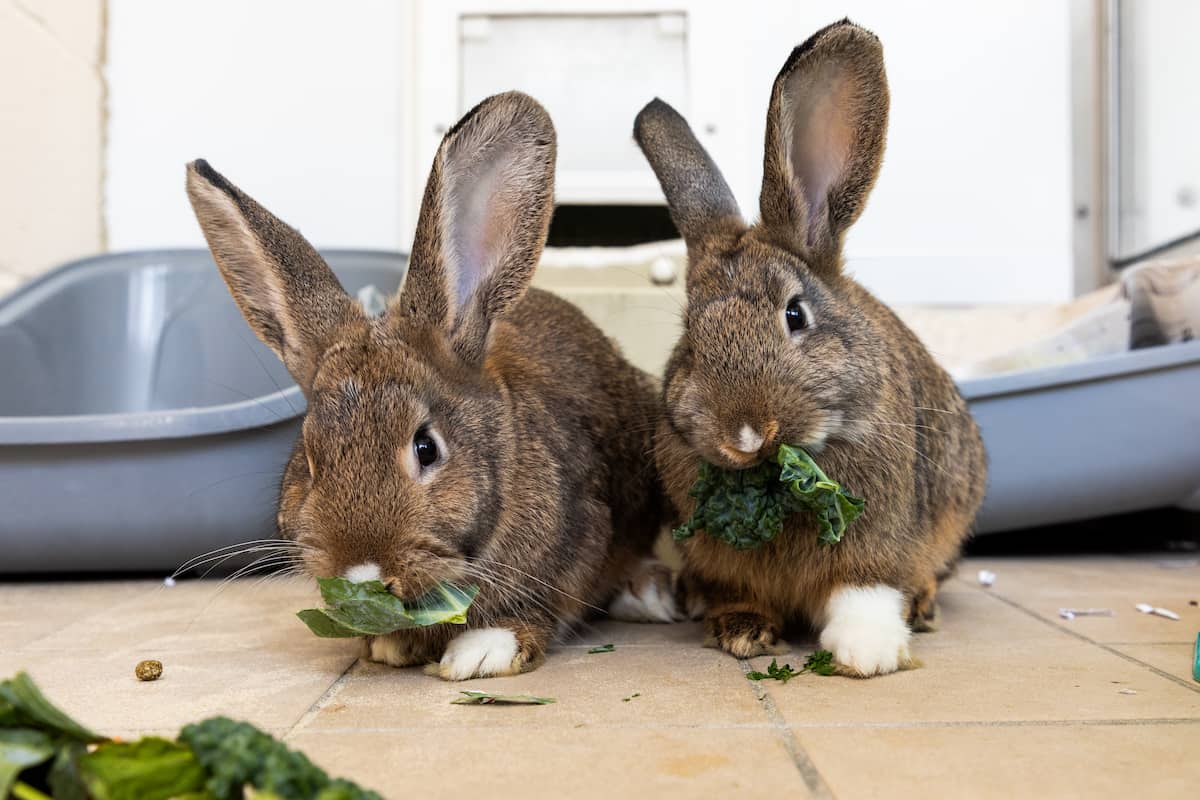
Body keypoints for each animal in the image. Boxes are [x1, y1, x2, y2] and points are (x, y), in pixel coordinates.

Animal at [185, 91, 673, 681]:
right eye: (310, 458)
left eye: (426, 447)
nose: (362, 573)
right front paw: (390, 644)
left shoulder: (578, 540)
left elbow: (539, 610)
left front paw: (480, 653)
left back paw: (648, 597)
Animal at [632, 19, 988, 677]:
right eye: (689, 337)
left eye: (795, 315)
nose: (744, 434)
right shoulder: (724, 560)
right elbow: (739, 591)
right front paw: (743, 632)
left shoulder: (877, 542)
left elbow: (864, 590)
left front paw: (866, 654)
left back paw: (924, 608)